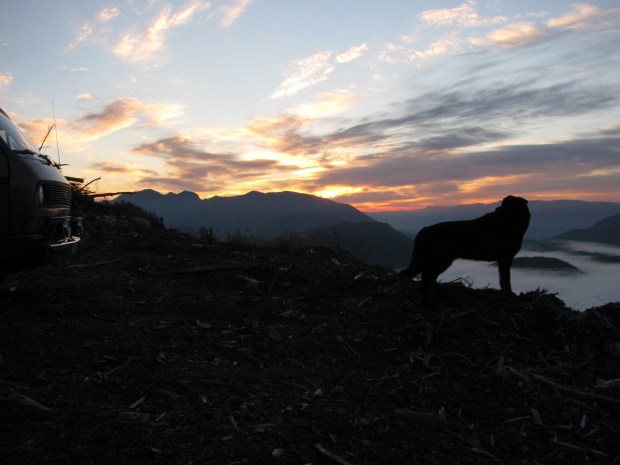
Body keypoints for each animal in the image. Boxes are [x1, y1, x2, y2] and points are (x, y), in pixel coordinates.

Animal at [399, 195, 530, 305]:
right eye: (503, 208)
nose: (497, 209)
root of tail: (424, 230)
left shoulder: (503, 260)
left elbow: (503, 280)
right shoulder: (506, 258)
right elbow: (506, 279)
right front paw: (509, 294)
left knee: (430, 278)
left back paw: (441, 294)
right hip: (441, 261)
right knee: (427, 279)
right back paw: (428, 303)